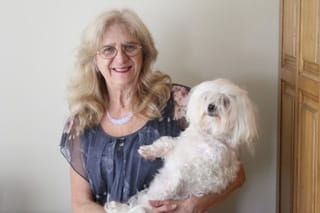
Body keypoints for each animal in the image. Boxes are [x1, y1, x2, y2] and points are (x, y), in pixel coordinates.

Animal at [105, 78, 258, 213]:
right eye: (207, 97)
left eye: (225, 102)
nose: (211, 106)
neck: (207, 134)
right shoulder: (178, 144)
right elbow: (165, 142)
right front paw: (147, 151)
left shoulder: (209, 166)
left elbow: (184, 171)